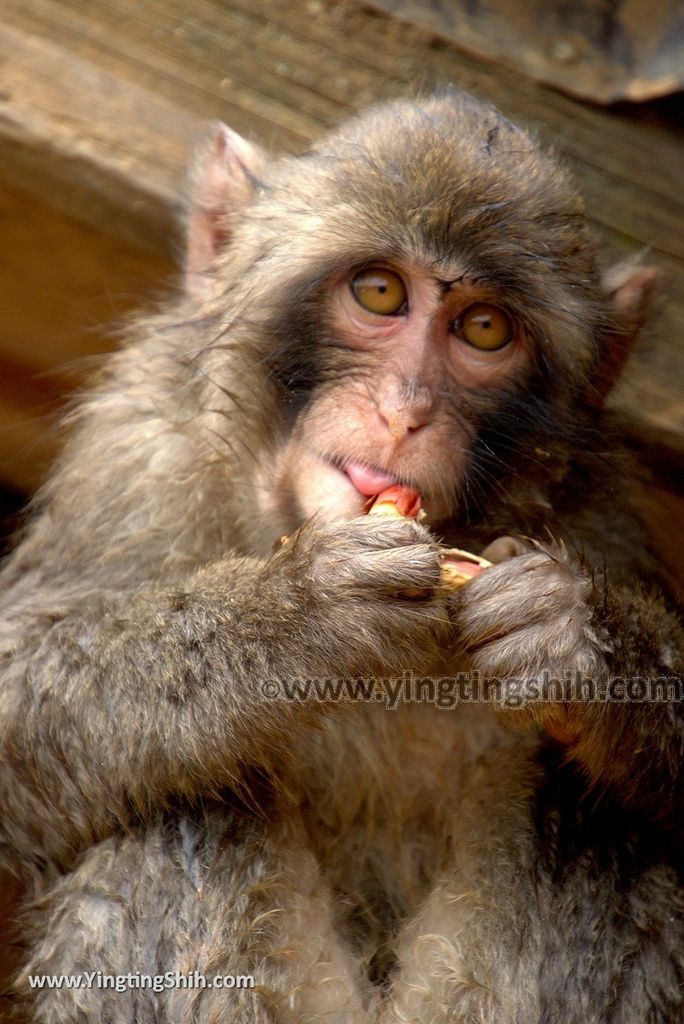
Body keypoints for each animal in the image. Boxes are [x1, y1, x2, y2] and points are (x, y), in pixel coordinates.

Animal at [0, 90, 679, 1024]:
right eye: (380, 291)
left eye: (484, 329)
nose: (405, 409)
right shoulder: (135, 453)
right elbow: (16, 688)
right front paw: (297, 617)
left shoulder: (606, 517)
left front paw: (577, 642)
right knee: (176, 795)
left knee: (596, 811)